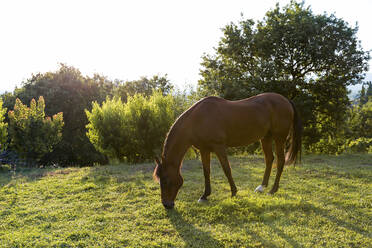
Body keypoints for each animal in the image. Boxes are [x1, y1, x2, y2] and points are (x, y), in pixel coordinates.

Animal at [154, 93, 302, 209]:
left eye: (166, 180)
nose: (166, 204)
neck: (198, 119)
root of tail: (286, 100)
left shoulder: (219, 147)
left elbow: (227, 169)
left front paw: (234, 192)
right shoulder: (204, 150)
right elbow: (206, 172)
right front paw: (204, 196)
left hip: (279, 138)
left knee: (281, 161)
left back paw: (272, 190)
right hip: (266, 138)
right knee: (269, 159)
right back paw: (261, 187)